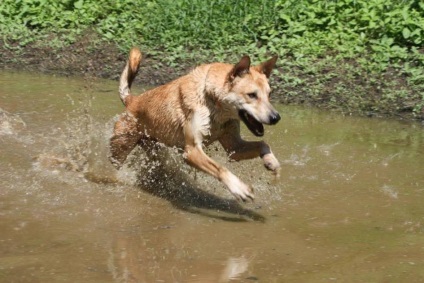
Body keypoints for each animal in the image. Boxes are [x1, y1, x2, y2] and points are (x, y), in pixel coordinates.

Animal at [111, 47, 280, 202]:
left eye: (269, 94)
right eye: (252, 95)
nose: (276, 117)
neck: (212, 102)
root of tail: (132, 100)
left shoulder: (234, 147)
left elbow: (262, 144)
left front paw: (271, 161)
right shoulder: (191, 151)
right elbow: (220, 168)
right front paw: (239, 188)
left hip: (154, 150)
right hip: (121, 147)